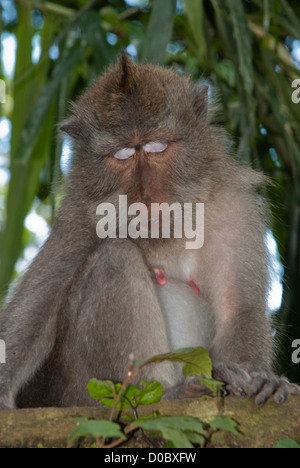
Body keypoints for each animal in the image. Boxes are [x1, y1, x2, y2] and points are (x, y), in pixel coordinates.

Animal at [0, 52, 298, 410]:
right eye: (123, 154)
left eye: (157, 146)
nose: (146, 197)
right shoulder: (78, 218)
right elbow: (36, 311)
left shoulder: (233, 207)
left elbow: (237, 308)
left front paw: (262, 378)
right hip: (77, 390)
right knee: (116, 256)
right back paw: (166, 392)